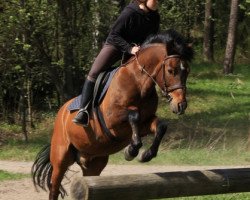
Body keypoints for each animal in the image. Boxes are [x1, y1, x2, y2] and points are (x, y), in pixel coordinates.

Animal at [32, 29, 194, 200]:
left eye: (187, 71)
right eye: (171, 71)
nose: (181, 105)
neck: (140, 83)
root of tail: (61, 112)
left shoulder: (145, 123)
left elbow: (160, 126)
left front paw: (146, 155)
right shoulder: (112, 120)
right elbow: (133, 115)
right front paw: (131, 150)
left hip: (94, 162)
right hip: (61, 157)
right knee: (54, 187)